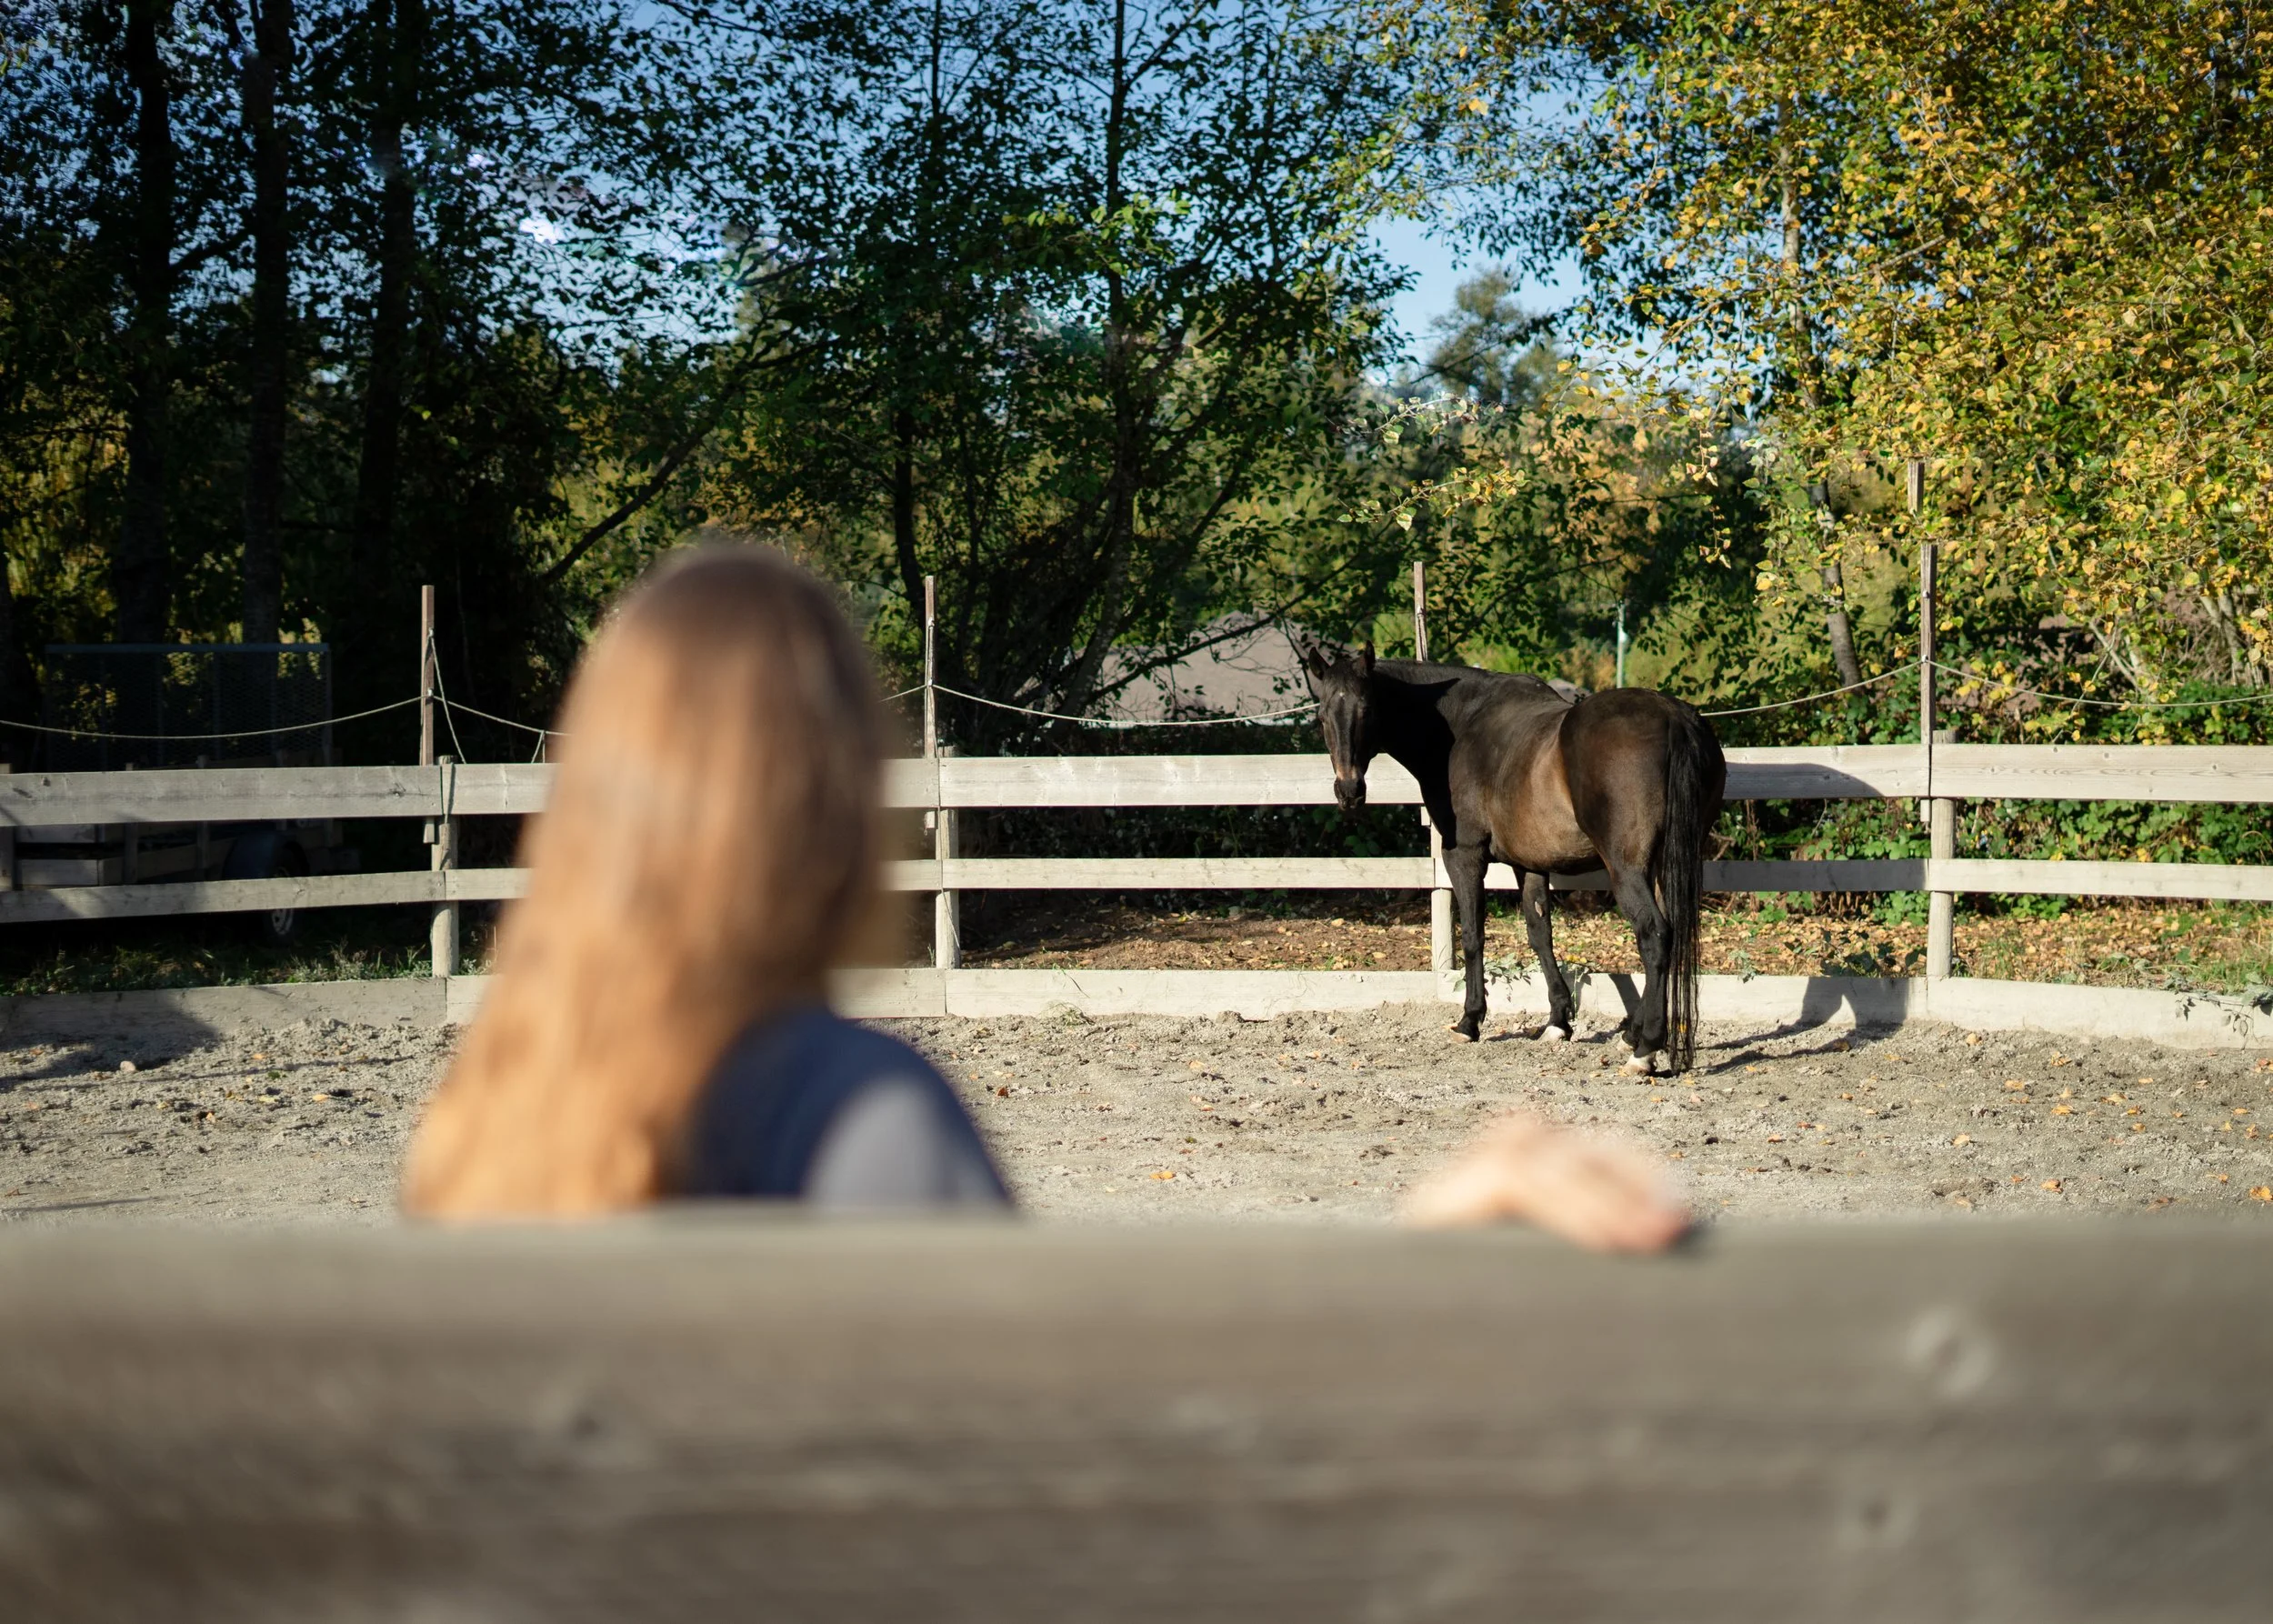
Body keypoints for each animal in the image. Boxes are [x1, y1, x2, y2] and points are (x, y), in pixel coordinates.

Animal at [1300, 641, 1725, 1074]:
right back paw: (1633, 1035)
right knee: (1671, 933)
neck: (1461, 726)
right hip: (1664, 863)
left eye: (1367, 710)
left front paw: (1469, 1021)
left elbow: (1473, 935)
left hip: (1627, 869)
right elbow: (1540, 934)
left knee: (1654, 935)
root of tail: (1674, 718)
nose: (1349, 791)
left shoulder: (1464, 855)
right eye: (1321, 716)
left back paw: (1645, 1049)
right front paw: (1557, 1022)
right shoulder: (1531, 864)